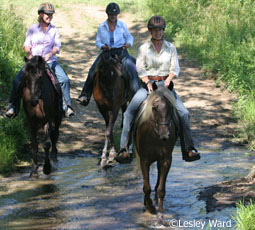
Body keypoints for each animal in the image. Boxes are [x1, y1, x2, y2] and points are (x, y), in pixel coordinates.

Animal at [134, 83, 178, 225]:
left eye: (171, 108)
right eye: (154, 107)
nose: (165, 135)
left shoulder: (166, 160)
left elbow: (161, 189)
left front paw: (160, 216)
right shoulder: (144, 160)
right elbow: (146, 187)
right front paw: (150, 207)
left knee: (159, 180)